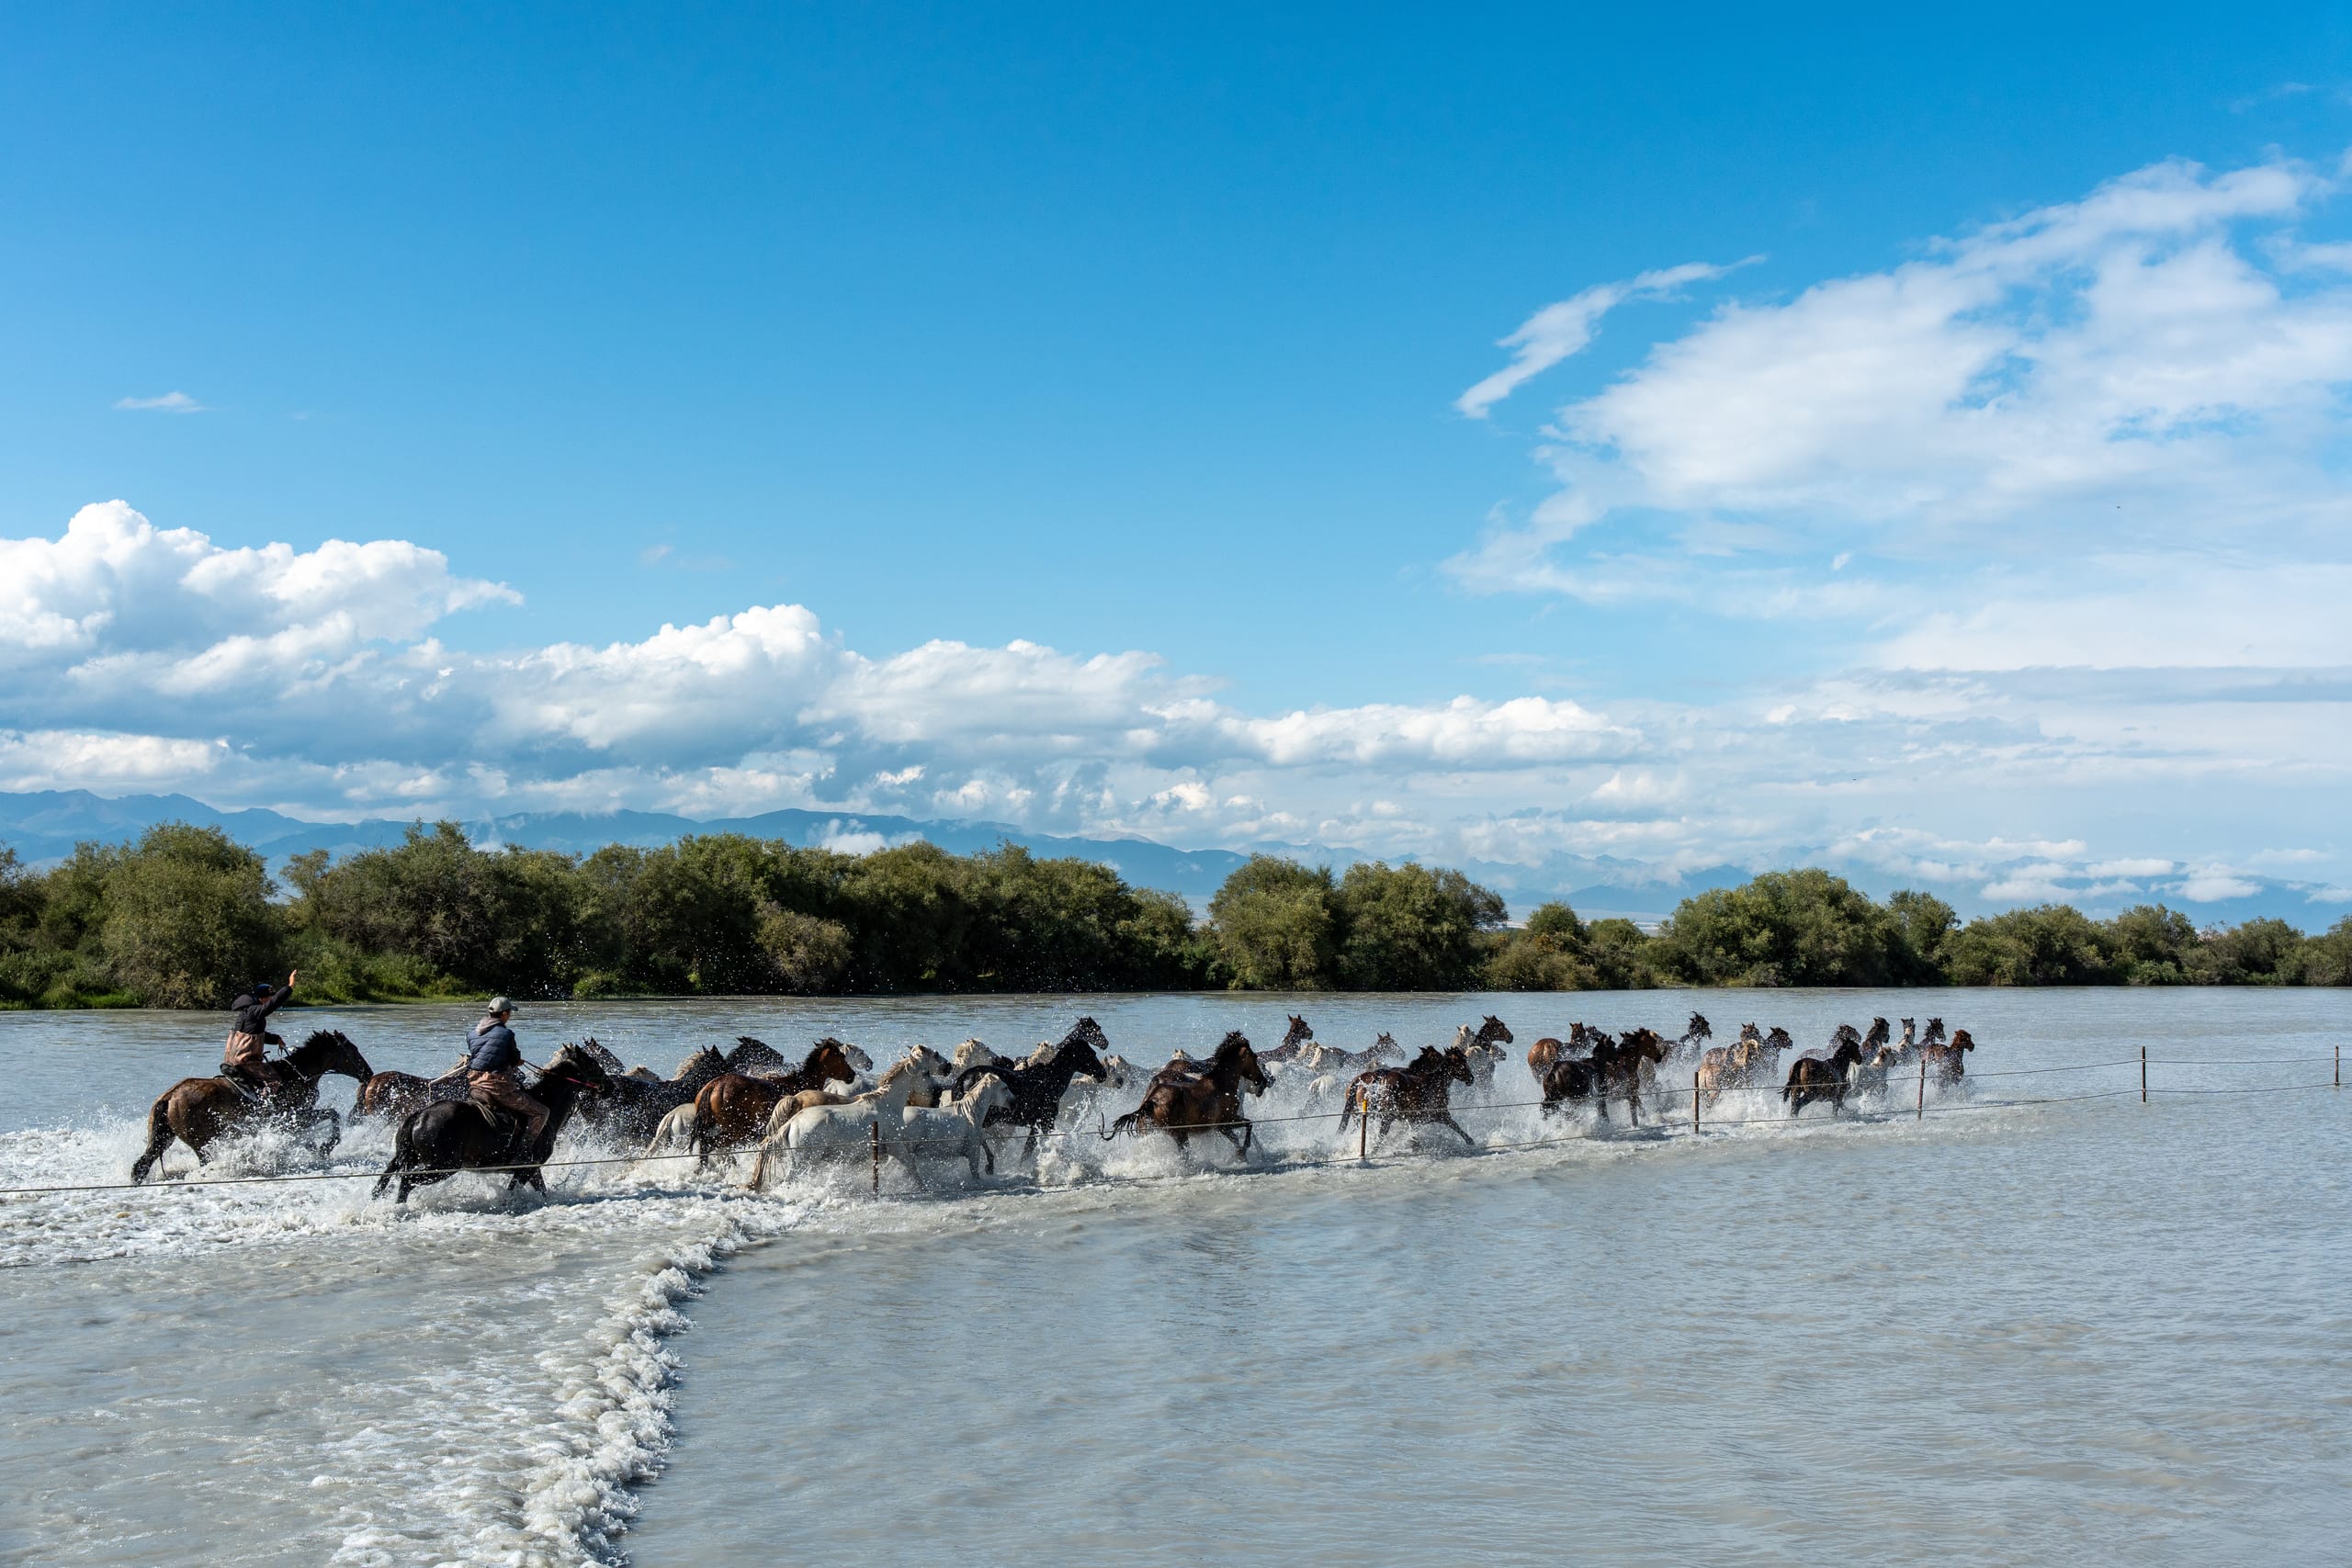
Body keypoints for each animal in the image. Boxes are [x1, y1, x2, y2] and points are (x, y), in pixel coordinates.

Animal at [131, 1029, 374, 1183]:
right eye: (353, 1050)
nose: (368, 1073)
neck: (296, 1074)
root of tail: (169, 1096)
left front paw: (316, 1149)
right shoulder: (296, 1117)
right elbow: (333, 1114)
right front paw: (327, 1146)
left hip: (163, 1137)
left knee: (141, 1165)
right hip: (202, 1143)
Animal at [371, 1044, 613, 1204]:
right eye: (593, 1063)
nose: (609, 1086)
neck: (548, 1104)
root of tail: (420, 1115)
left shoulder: (531, 1170)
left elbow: (540, 1190)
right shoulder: (527, 1169)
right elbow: (517, 1190)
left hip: (410, 1158)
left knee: (388, 1179)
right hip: (441, 1166)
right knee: (407, 1182)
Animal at [1105, 1032, 1270, 1155]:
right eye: (1255, 1057)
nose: (1264, 1081)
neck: (1222, 1083)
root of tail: (1151, 1100)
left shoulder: (1222, 1126)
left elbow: (1242, 1132)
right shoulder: (1226, 1122)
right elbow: (1248, 1127)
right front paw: (1244, 1153)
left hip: (1148, 1133)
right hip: (1179, 1135)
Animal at [1339, 1045, 1476, 1149]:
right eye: (1462, 1061)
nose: (1471, 1078)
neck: (1436, 1082)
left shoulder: (1414, 1118)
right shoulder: (1439, 1113)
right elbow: (1455, 1125)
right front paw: (1470, 1140)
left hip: (1362, 1116)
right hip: (1384, 1118)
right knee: (1377, 1136)